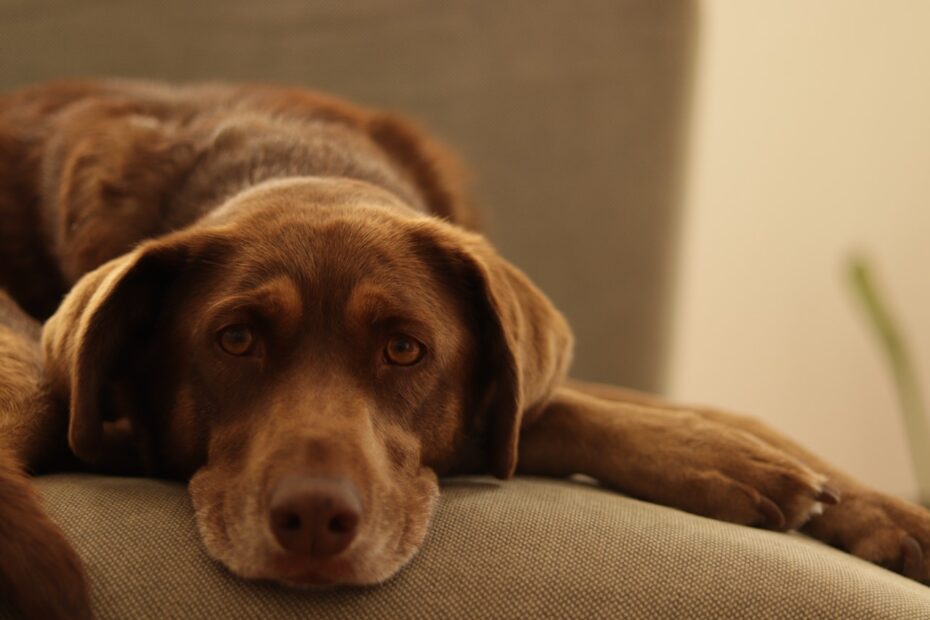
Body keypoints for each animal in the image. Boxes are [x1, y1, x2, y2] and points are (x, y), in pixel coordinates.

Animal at [0, 80, 924, 616]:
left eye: (407, 351)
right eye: (235, 340)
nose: (313, 521)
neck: (286, 158)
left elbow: (699, 404)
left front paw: (879, 509)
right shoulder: (112, 431)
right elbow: (557, 413)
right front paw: (726, 465)